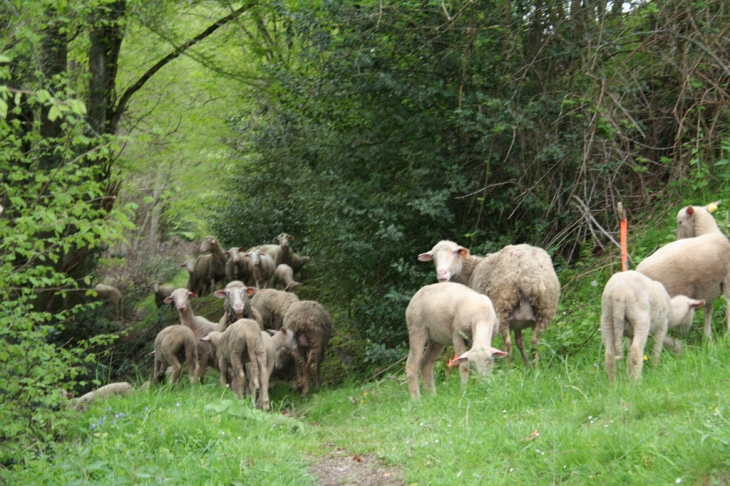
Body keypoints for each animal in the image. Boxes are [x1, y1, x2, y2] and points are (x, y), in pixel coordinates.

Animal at [416, 239, 556, 364]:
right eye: (433, 256)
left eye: (455, 252)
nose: (441, 274)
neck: (471, 271)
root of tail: (528, 274)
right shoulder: (518, 323)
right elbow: (520, 343)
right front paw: (526, 365)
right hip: (545, 310)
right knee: (534, 343)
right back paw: (535, 368)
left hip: (502, 307)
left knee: (508, 345)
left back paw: (507, 371)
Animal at [632, 207, 728, 340]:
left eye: (680, 222)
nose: (678, 239)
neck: (709, 231)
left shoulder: (709, 288)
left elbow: (709, 310)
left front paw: (708, 337)